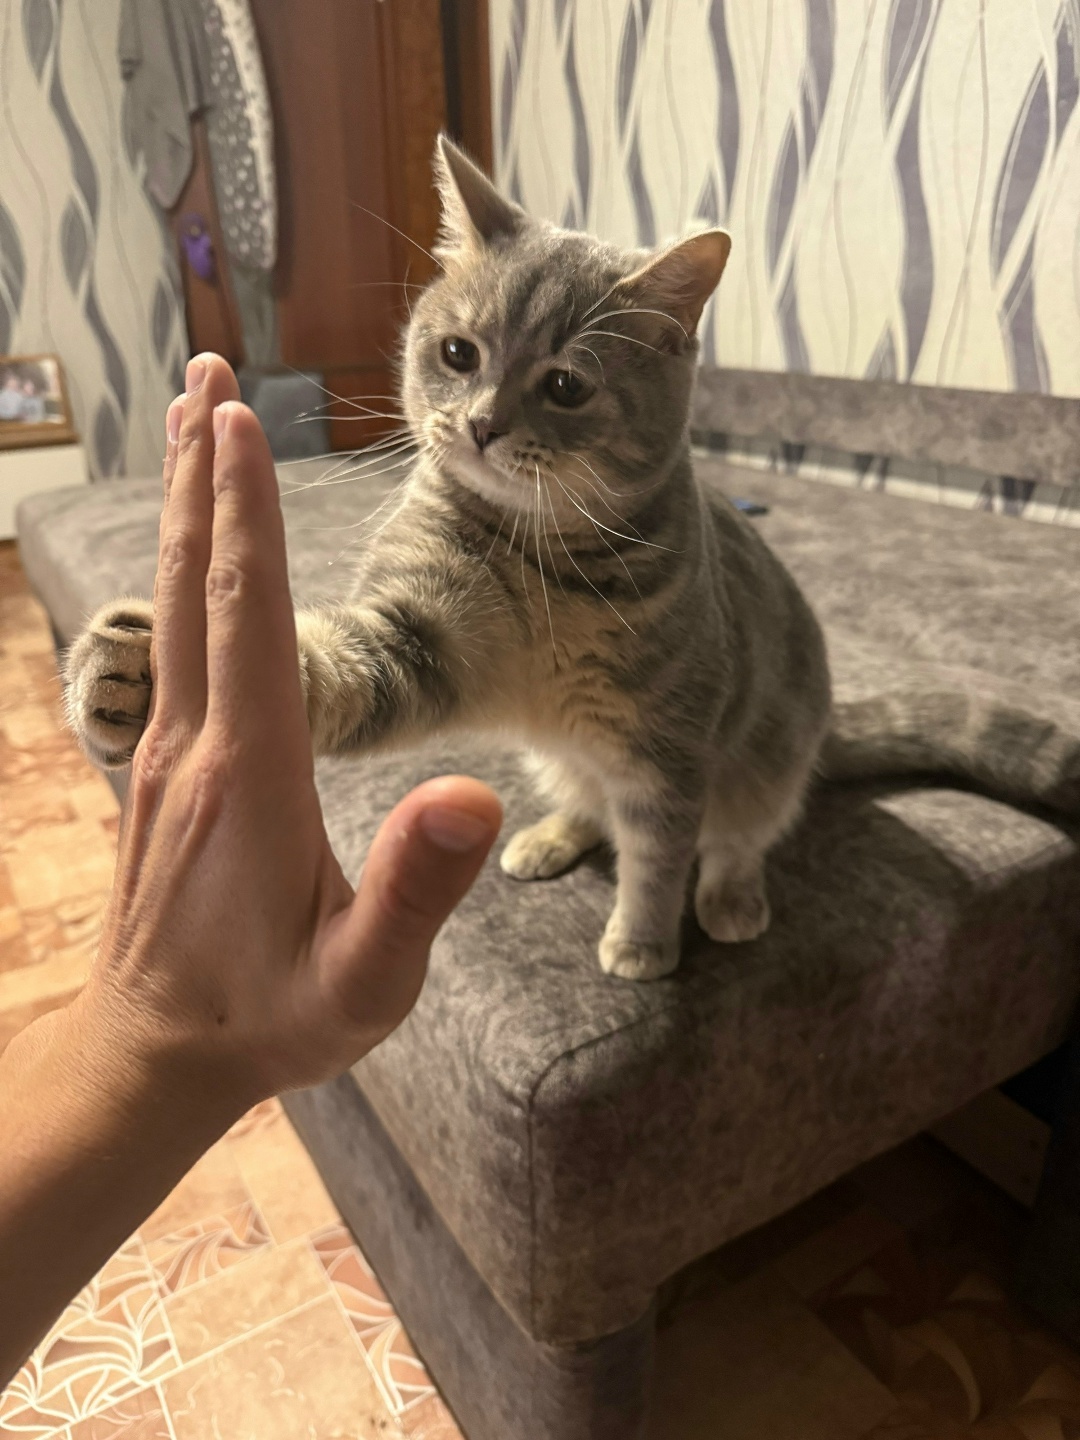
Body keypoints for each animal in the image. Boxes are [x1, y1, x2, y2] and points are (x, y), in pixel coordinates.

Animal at [65, 137, 832, 982]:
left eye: (567, 386)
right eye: (459, 353)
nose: (482, 424)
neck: (543, 560)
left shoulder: (668, 750)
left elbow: (659, 855)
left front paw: (643, 940)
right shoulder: (419, 637)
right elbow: (327, 668)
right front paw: (131, 665)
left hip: (771, 761)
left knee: (736, 838)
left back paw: (730, 896)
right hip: (567, 759)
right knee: (587, 804)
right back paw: (548, 836)